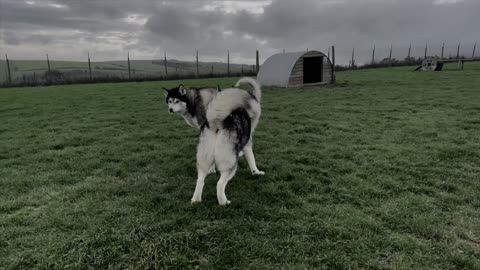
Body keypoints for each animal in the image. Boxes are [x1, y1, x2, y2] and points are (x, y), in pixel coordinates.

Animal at [191, 77, 264, 205]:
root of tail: (216, 122)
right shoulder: (247, 145)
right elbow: (252, 161)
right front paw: (257, 172)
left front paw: (212, 170)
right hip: (230, 164)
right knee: (219, 184)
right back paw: (224, 202)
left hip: (203, 162)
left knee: (200, 180)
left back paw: (196, 200)